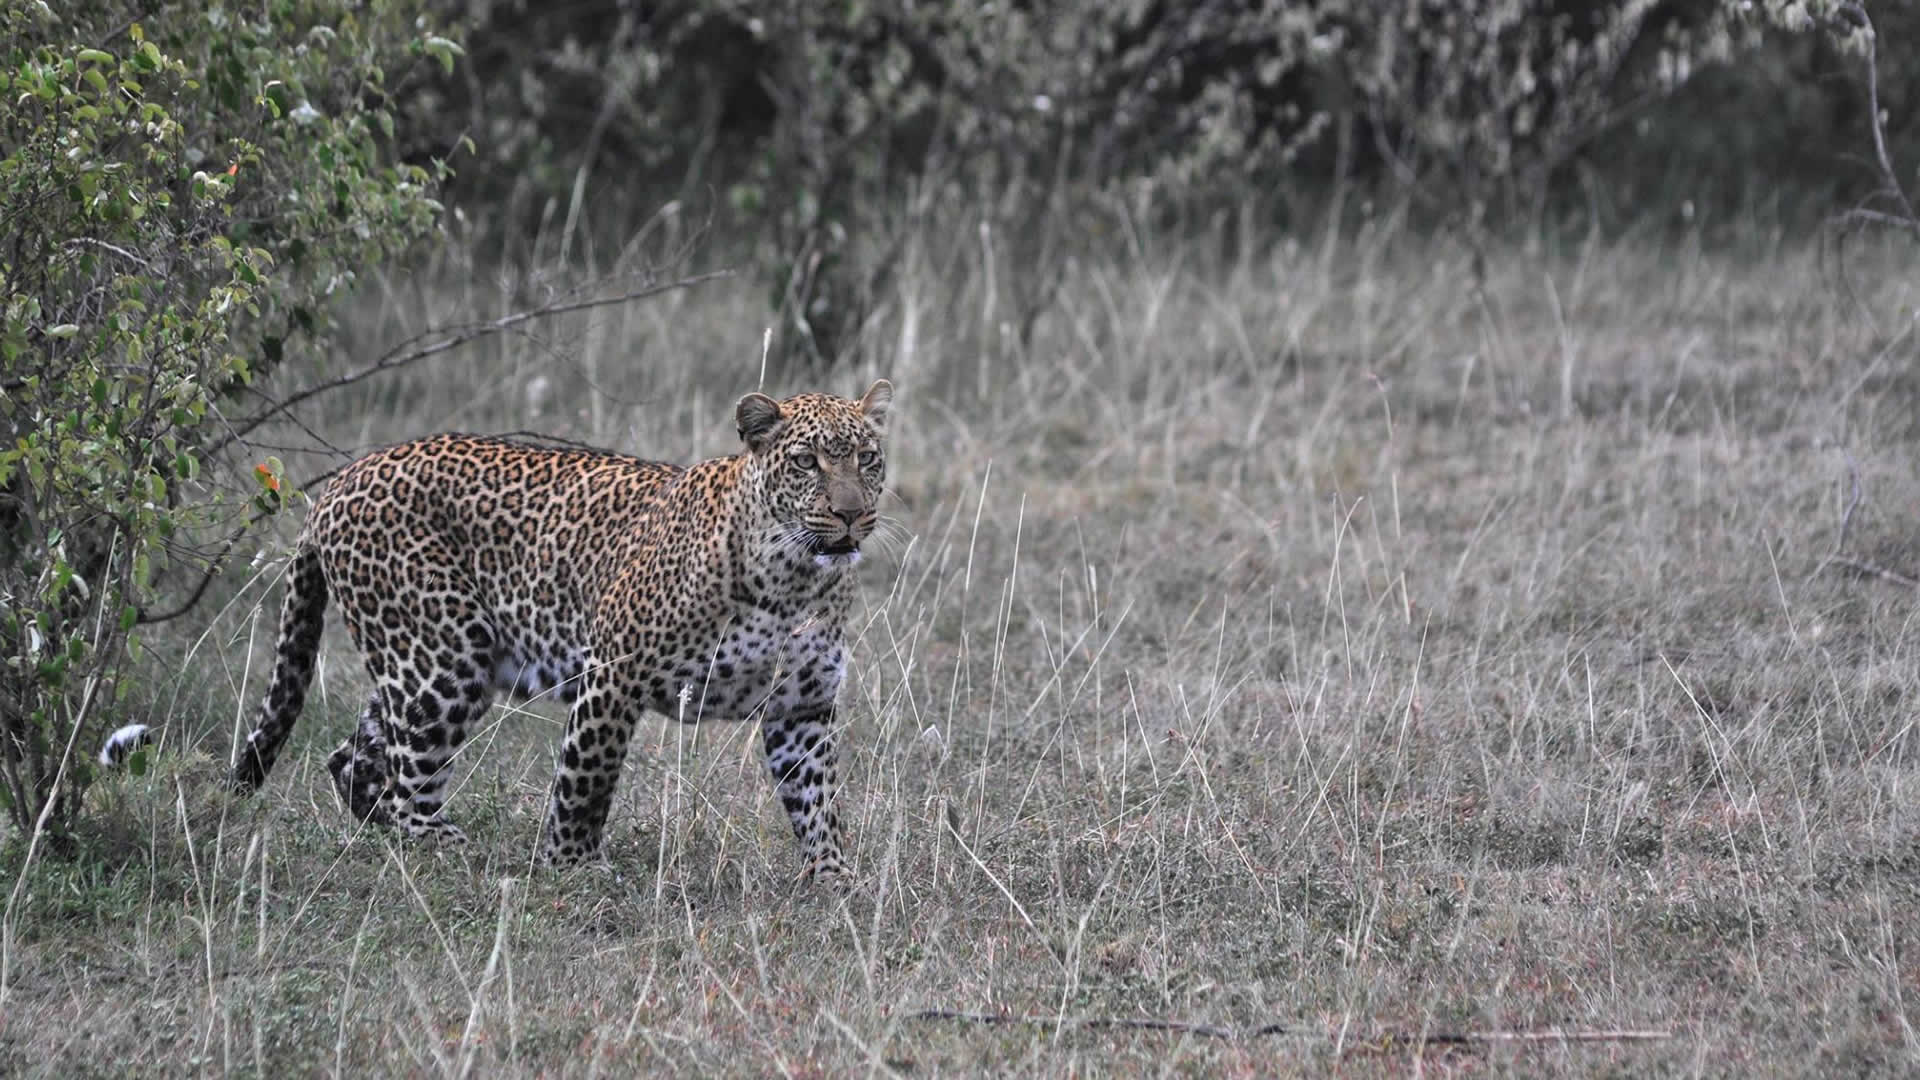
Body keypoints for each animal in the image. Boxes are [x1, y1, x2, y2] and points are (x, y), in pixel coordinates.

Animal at [226, 380, 894, 883]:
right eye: (806, 462)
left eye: (867, 459)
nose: (851, 514)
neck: (793, 579)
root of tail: (340, 481)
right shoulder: (615, 671)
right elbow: (587, 776)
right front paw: (571, 866)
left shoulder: (802, 702)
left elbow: (817, 797)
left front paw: (833, 878)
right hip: (445, 659)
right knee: (406, 780)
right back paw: (446, 847)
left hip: (423, 662)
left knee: (356, 758)